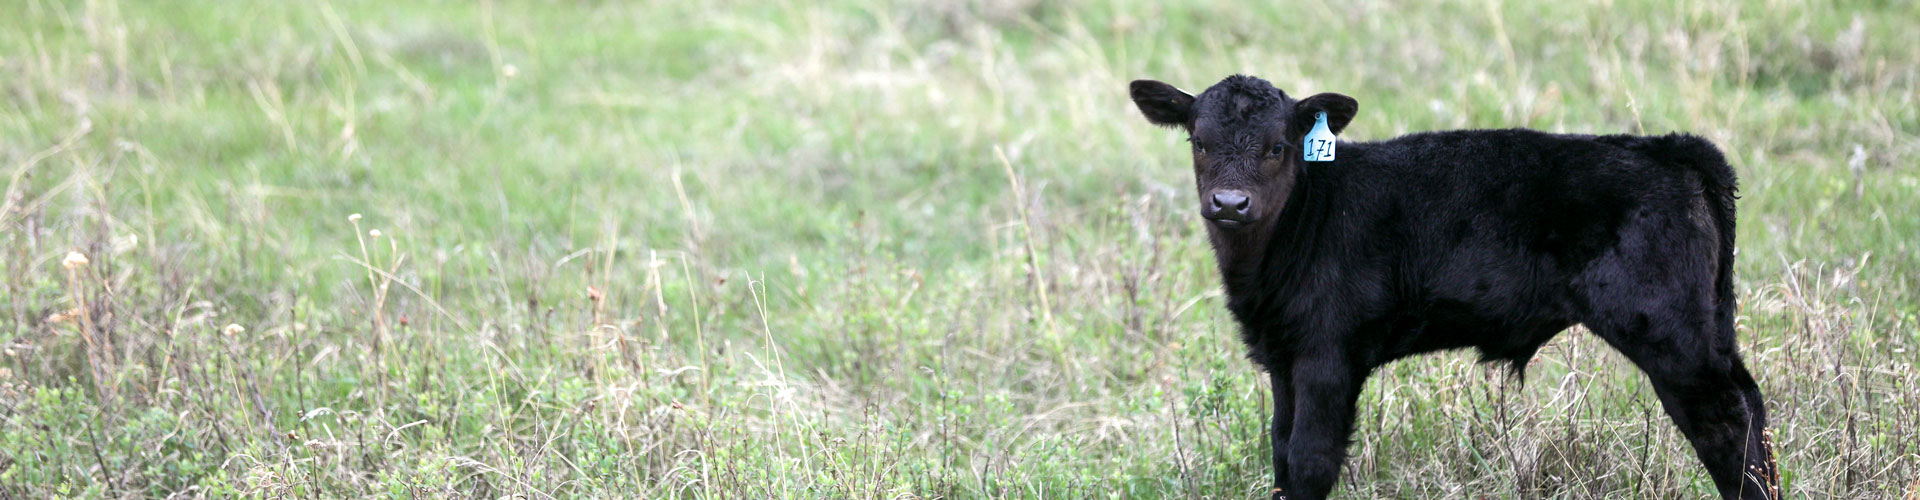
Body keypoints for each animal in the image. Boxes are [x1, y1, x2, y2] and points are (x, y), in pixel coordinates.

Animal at [1128, 74, 1774, 500]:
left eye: (1277, 147)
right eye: (1199, 142)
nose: (1229, 204)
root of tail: (1673, 148)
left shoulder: (1328, 354)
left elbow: (1311, 460)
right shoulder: (1283, 356)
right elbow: (1281, 453)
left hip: (1668, 332)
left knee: (1724, 421)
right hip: (1710, 327)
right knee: (1752, 406)